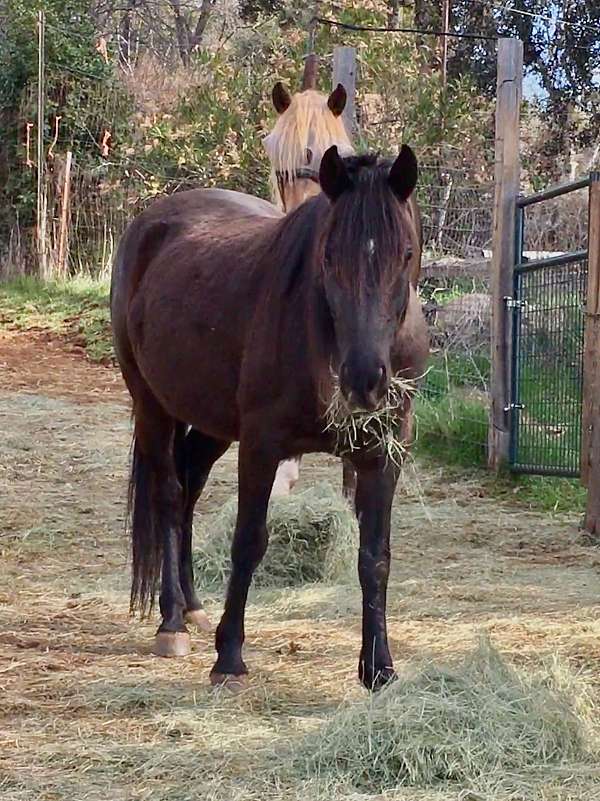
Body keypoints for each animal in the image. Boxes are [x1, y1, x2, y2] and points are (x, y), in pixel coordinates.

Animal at [110, 147, 428, 692]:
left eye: (405, 253)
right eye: (328, 256)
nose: (364, 379)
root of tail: (148, 225)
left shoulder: (384, 452)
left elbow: (375, 557)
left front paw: (378, 668)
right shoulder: (261, 445)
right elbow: (249, 541)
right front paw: (230, 657)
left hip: (212, 424)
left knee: (189, 489)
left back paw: (193, 608)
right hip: (152, 404)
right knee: (169, 497)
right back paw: (172, 622)